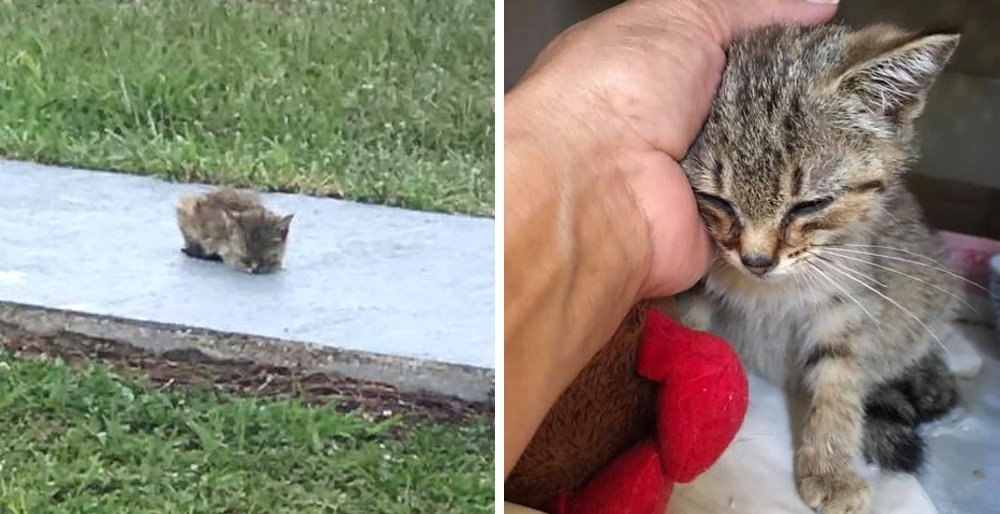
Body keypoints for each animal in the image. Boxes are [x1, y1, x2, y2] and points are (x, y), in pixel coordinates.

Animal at [672, 23, 960, 512]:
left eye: (810, 205)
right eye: (715, 200)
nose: (756, 260)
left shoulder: (850, 298)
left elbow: (839, 378)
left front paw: (832, 469)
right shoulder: (695, 287)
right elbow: (686, 338)